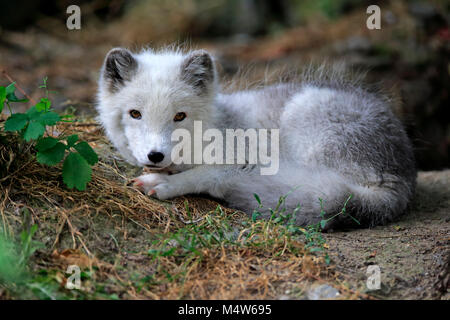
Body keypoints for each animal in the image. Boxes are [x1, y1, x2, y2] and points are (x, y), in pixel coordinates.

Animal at [96, 46, 416, 229]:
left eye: (179, 116)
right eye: (135, 114)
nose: (155, 156)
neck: (215, 125)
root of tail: (401, 179)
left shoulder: (244, 159)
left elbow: (207, 175)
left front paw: (165, 183)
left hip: (303, 115)